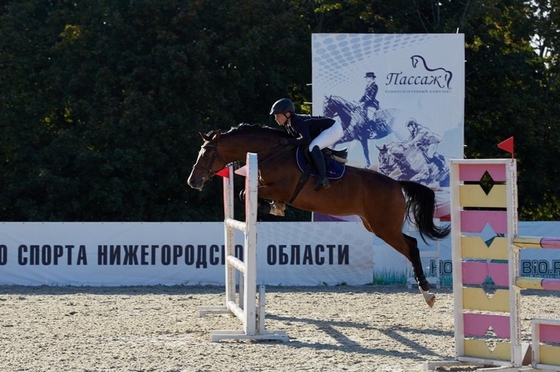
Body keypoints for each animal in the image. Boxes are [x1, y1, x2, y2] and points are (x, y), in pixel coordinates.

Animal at [188, 123, 450, 306]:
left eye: (207, 153)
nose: (193, 181)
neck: (270, 153)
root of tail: (397, 184)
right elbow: (249, 193)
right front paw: (274, 208)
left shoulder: (283, 188)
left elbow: (245, 192)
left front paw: (270, 207)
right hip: (375, 225)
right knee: (411, 243)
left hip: (385, 228)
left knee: (412, 247)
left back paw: (427, 293)